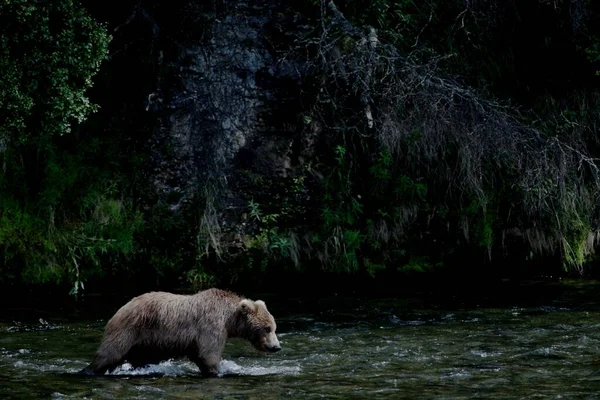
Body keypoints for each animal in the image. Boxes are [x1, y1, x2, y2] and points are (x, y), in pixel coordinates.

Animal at [77, 288, 282, 378]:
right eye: (267, 328)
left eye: (274, 327)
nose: (276, 347)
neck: (230, 319)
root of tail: (119, 309)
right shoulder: (211, 326)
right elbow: (209, 354)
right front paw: (220, 371)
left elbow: (200, 356)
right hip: (129, 330)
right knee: (110, 353)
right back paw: (86, 370)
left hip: (144, 343)